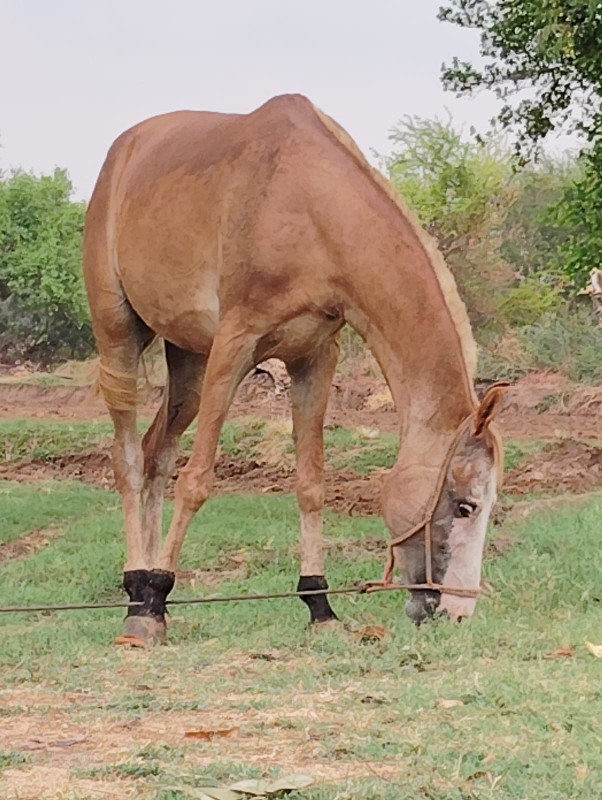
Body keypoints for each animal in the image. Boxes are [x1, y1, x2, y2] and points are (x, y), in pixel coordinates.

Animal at [83, 94, 506, 644]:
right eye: (464, 506)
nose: (457, 612)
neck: (310, 212)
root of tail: (123, 151)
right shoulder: (235, 345)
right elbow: (197, 481)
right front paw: (154, 600)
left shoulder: (313, 359)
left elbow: (310, 484)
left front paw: (319, 603)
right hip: (118, 335)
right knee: (130, 459)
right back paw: (140, 592)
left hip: (189, 364)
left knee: (157, 455)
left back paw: (143, 589)